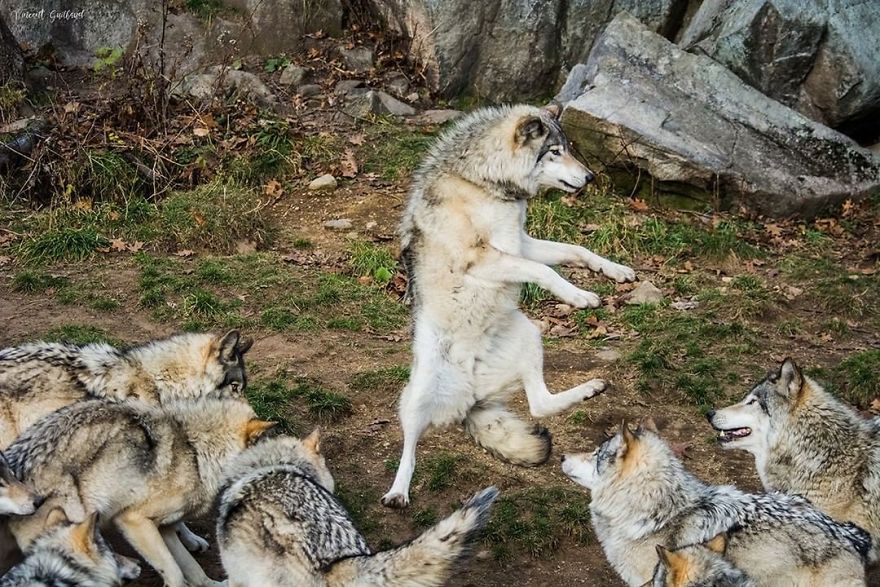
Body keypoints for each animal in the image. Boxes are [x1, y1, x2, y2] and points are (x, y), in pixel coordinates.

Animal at [383, 103, 636, 508]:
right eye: (554, 152)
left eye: (568, 149)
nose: (590, 176)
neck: (481, 182)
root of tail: (472, 396)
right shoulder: (483, 258)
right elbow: (544, 270)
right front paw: (579, 296)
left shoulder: (521, 241)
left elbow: (576, 250)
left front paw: (615, 271)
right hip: (417, 396)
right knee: (408, 449)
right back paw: (397, 492)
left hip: (531, 336)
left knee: (540, 405)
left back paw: (591, 389)